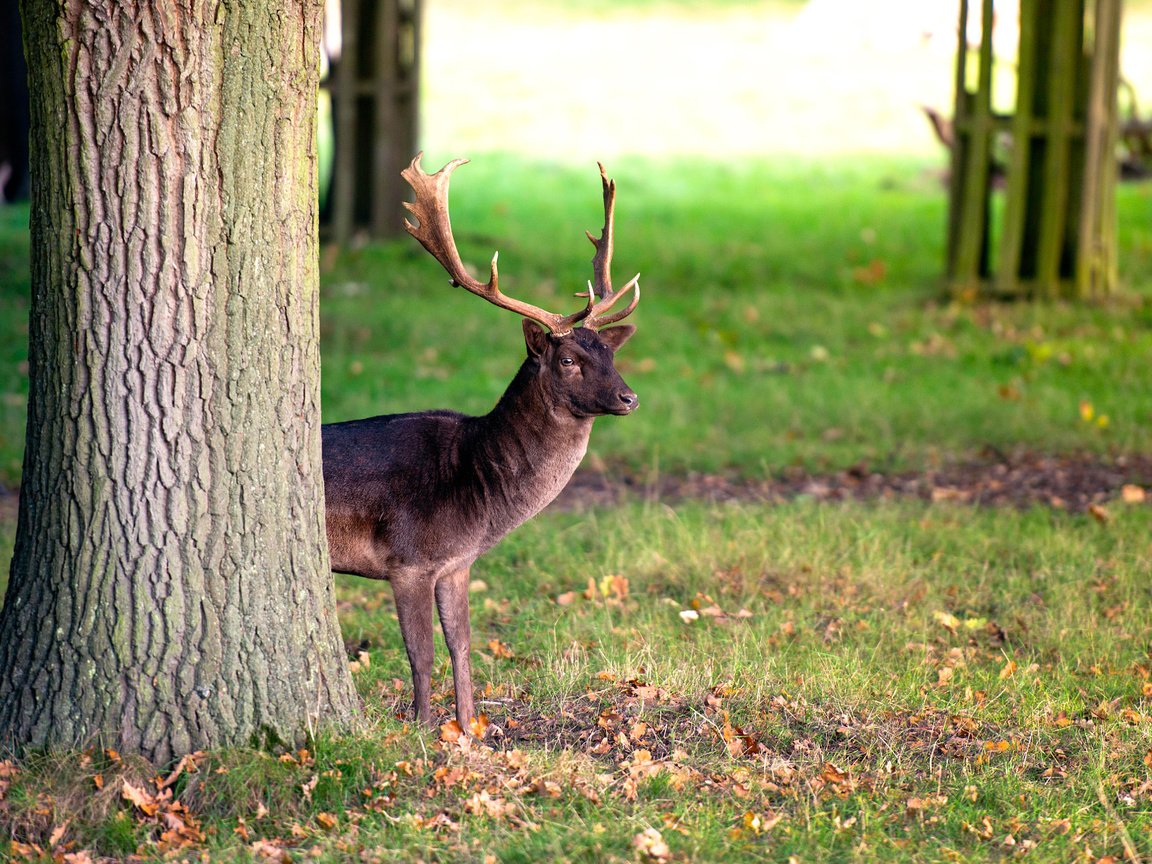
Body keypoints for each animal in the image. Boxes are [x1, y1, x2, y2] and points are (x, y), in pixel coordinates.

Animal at [322, 154, 640, 732]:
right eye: (568, 359)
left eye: (610, 353)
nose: (629, 397)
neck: (477, 486)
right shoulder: (408, 559)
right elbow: (420, 652)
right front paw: (424, 730)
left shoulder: (457, 563)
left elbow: (462, 644)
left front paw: (470, 729)